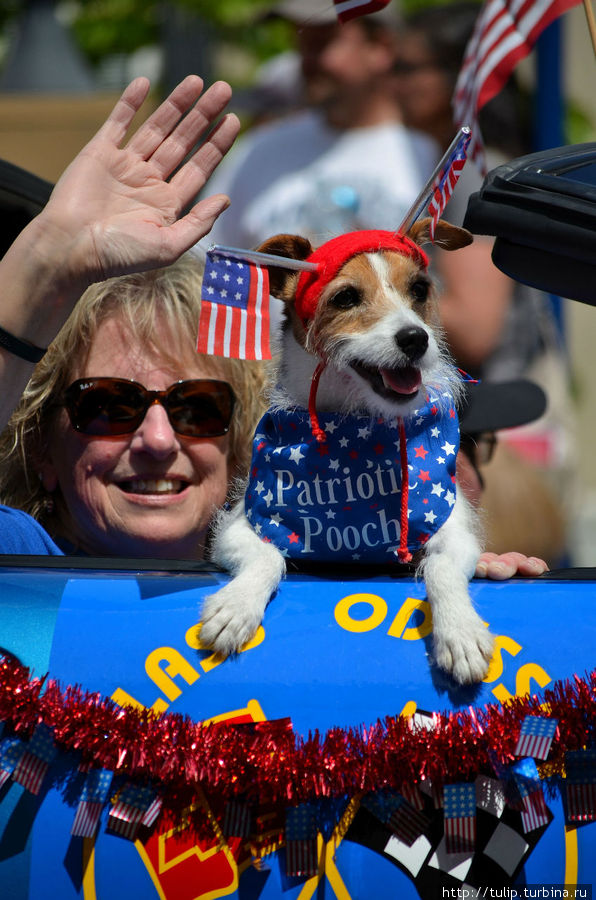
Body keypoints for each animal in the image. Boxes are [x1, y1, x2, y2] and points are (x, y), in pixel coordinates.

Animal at [200, 221, 494, 684]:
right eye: (346, 298)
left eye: (419, 289)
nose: (416, 338)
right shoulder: (240, 526)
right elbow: (267, 556)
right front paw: (236, 605)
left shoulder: (453, 528)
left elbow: (441, 568)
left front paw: (460, 631)